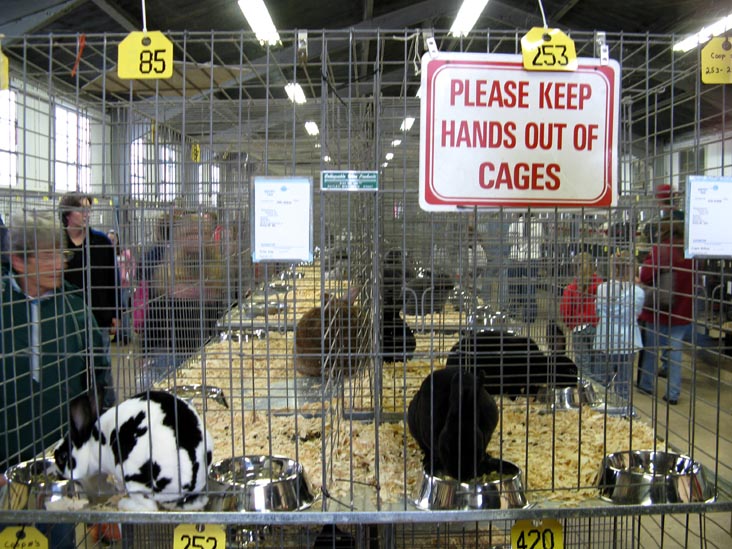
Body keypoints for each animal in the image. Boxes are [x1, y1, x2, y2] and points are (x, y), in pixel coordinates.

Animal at [53, 390, 213, 510]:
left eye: (62, 456)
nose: (58, 474)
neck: (93, 444)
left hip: (131, 478)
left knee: (150, 507)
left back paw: (124, 503)